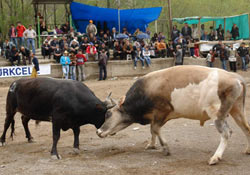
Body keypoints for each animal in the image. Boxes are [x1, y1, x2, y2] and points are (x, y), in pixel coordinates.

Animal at [96, 65, 250, 165]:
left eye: (108, 114)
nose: (98, 131)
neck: (146, 89)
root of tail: (235, 78)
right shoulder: (156, 116)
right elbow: (152, 130)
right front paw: (151, 144)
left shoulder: (161, 111)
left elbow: (155, 129)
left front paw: (165, 148)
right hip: (237, 111)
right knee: (246, 129)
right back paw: (248, 150)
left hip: (218, 114)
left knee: (226, 133)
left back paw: (215, 157)